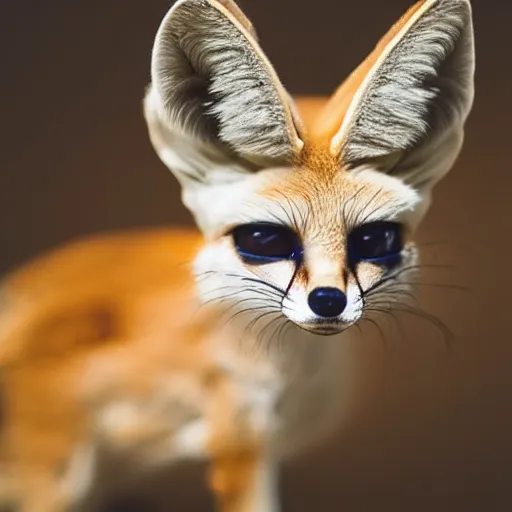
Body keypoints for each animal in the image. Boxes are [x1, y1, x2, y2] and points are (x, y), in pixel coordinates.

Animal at [0, 1, 476, 512]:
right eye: (265, 240)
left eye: (374, 240)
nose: (328, 301)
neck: (290, 376)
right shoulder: (237, 444)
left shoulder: (264, 442)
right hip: (59, 476)